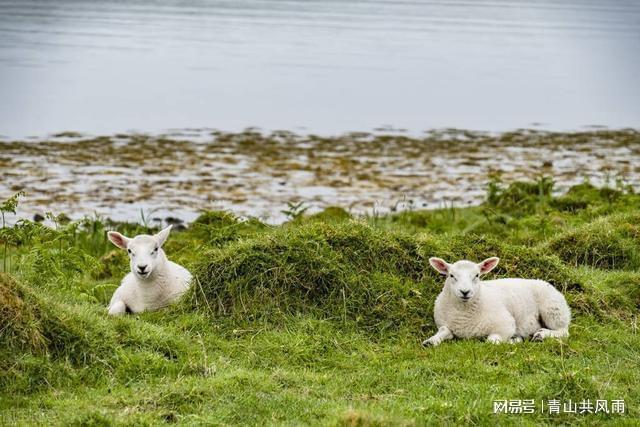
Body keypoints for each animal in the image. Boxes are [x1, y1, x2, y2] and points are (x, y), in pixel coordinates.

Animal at [424, 256, 568, 346]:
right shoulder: (444, 324)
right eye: (451, 275)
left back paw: (542, 335)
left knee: (563, 331)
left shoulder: (506, 324)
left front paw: (514, 340)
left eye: (477, 275)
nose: (465, 292)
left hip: (553, 309)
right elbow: (444, 331)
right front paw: (430, 341)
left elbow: (491, 341)